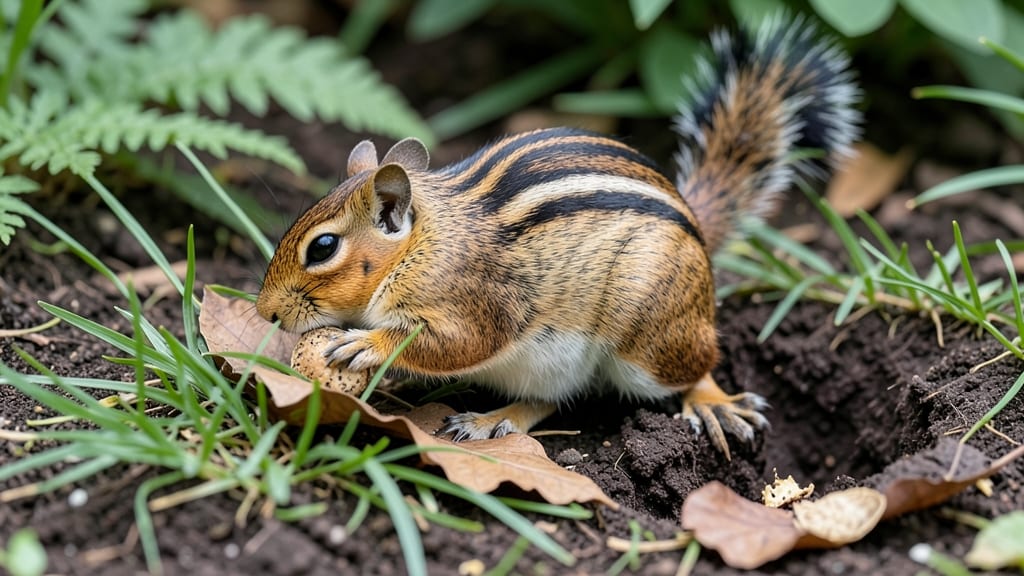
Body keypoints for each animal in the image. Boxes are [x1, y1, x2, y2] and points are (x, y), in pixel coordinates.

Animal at [256, 14, 860, 458]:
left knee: (694, 363)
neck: (422, 244)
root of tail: (698, 232)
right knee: (549, 401)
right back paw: (494, 418)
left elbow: (453, 342)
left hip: (649, 335)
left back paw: (711, 400)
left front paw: (369, 344)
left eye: (323, 248)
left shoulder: (473, 296)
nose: (265, 313)